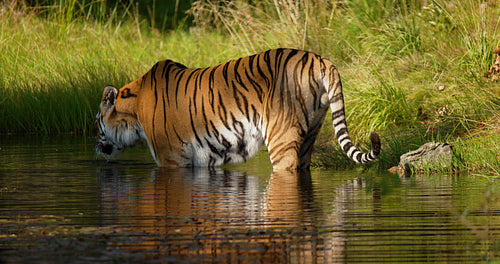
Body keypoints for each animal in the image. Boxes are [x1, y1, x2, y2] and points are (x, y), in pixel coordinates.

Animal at [96, 48, 378, 170]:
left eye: (96, 122)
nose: (96, 148)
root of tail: (319, 59)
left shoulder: (171, 158)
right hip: (310, 134)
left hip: (281, 136)